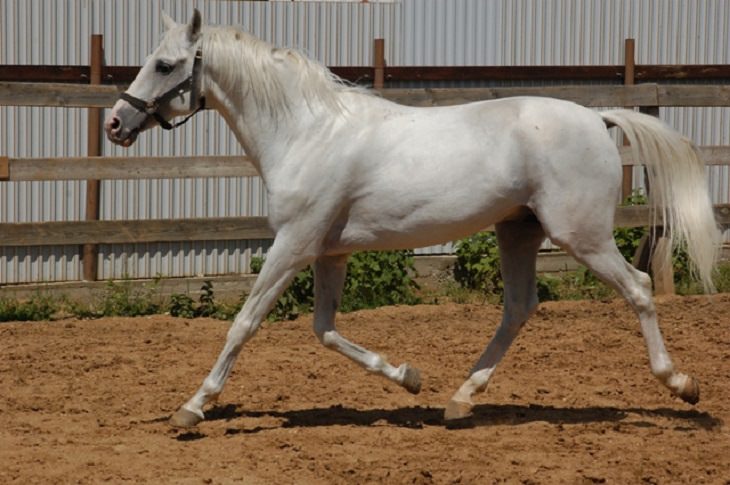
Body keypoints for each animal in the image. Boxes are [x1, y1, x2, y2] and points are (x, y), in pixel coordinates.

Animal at [102, 12, 716, 428]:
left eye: (164, 64)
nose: (115, 123)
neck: (307, 133)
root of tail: (597, 117)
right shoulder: (330, 252)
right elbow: (325, 330)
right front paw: (408, 377)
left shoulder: (293, 244)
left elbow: (245, 323)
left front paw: (192, 407)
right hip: (518, 230)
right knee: (520, 307)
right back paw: (460, 400)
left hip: (580, 235)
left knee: (638, 287)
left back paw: (682, 385)